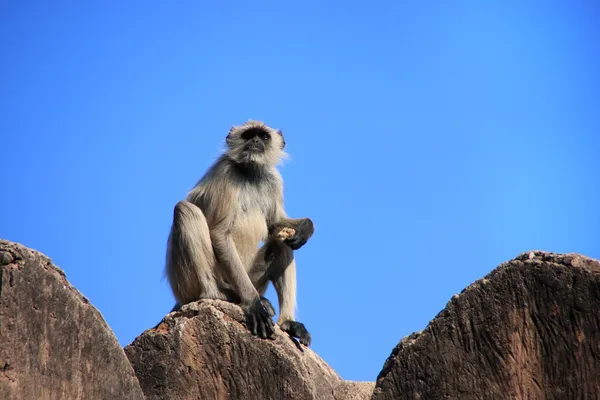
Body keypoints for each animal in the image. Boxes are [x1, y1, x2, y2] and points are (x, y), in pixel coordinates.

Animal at [164, 120, 314, 346]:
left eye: (263, 136)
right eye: (249, 135)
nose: (255, 142)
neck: (250, 173)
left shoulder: (273, 180)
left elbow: (275, 224)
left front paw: (306, 227)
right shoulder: (226, 172)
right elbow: (219, 234)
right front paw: (253, 305)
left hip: (251, 278)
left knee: (282, 244)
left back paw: (288, 322)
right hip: (193, 283)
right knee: (184, 209)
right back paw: (218, 294)